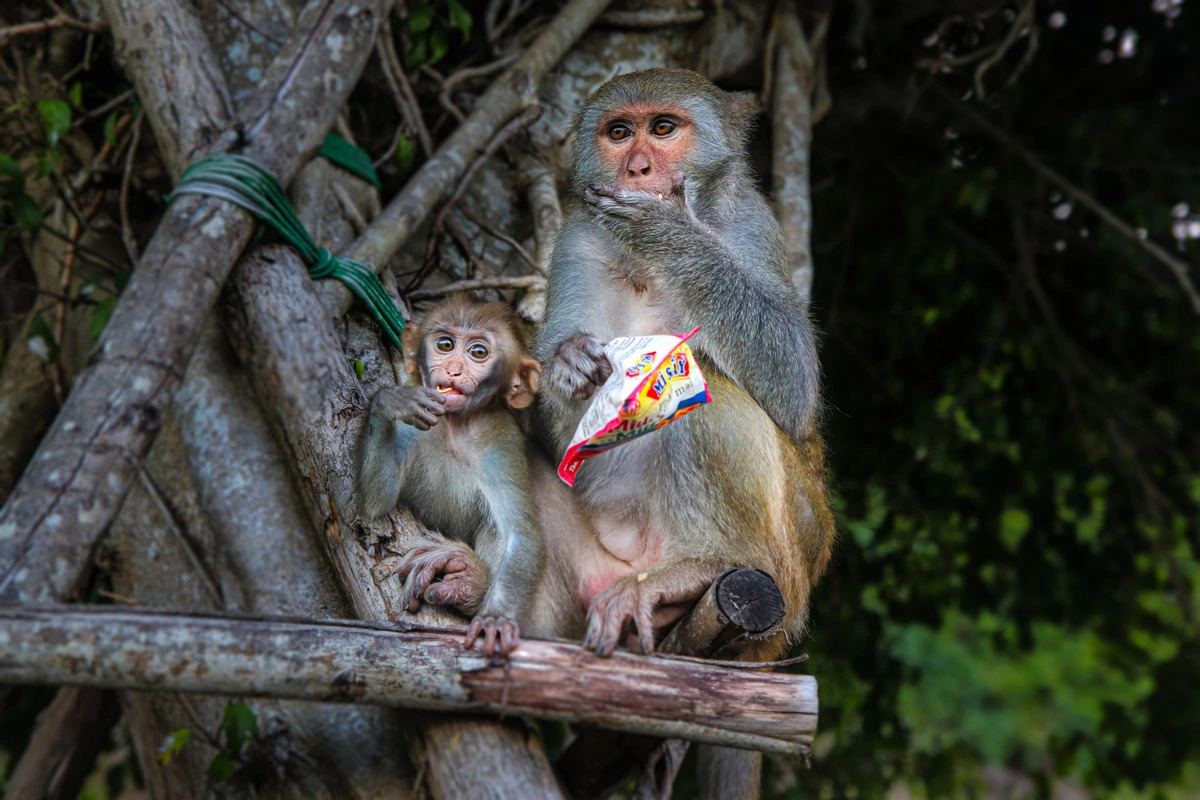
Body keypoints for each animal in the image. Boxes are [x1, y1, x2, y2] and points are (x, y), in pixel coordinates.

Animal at [355, 293, 544, 657]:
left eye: (478, 352)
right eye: (445, 344)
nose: (453, 370)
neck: (454, 428)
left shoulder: (500, 441)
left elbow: (520, 535)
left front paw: (494, 620)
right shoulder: (412, 428)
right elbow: (375, 504)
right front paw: (390, 401)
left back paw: (468, 586)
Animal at [535, 67, 835, 796]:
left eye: (664, 128)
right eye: (620, 133)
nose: (638, 167)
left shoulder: (750, 225)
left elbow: (791, 381)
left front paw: (668, 232)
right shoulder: (576, 238)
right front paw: (567, 363)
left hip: (793, 562)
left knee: (703, 391)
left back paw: (708, 567)